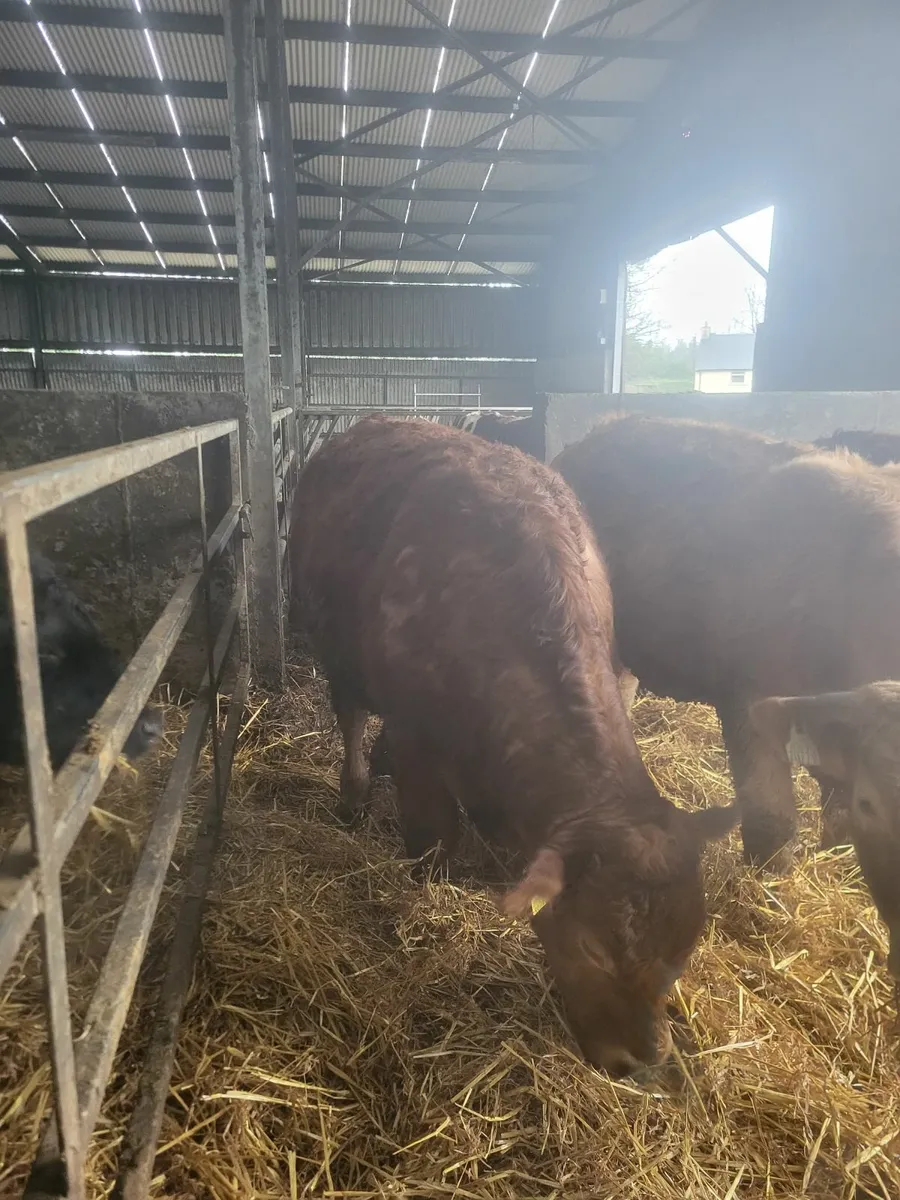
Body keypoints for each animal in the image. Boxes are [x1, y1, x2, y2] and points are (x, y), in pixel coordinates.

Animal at [290, 415, 735, 1075]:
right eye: (594, 949)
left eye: (682, 952)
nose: (640, 1060)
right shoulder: (417, 736)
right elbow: (432, 839)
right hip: (334, 650)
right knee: (349, 719)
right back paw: (355, 793)